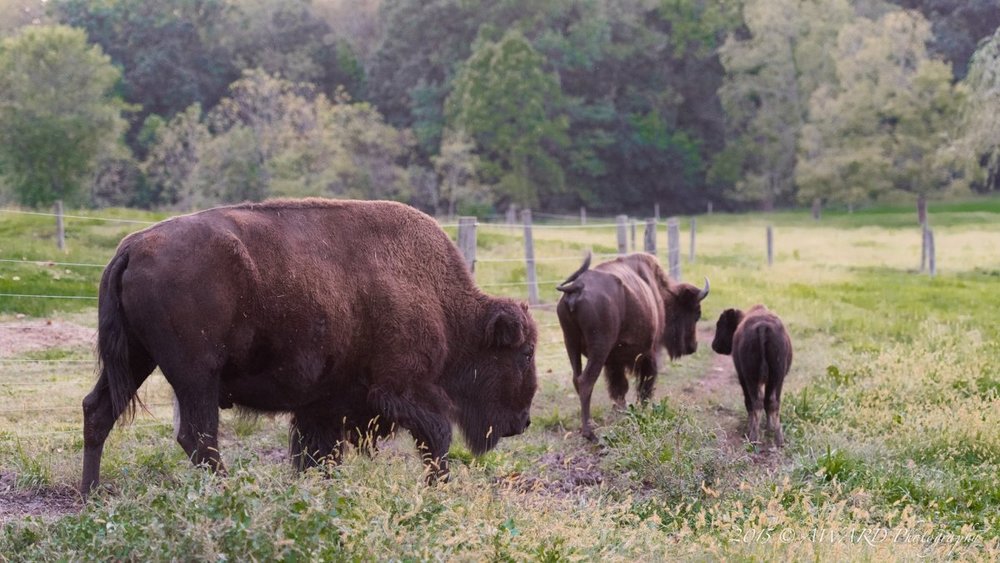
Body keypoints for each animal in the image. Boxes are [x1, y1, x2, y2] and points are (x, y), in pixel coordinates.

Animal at [85, 199, 540, 494]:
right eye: (525, 353)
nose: (523, 422)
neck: (442, 301)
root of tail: (132, 246)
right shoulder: (402, 387)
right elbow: (437, 436)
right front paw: (439, 489)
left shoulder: (323, 405)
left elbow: (318, 455)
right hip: (196, 374)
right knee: (197, 436)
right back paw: (228, 493)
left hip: (137, 359)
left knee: (98, 411)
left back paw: (92, 495)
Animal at [712, 306, 796, 448]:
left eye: (720, 324)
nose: (714, 345)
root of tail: (763, 326)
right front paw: (769, 428)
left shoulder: (743, 378)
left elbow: (749, 402)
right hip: (777, 378)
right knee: (772, 402)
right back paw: (778, 439)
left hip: (751, 379)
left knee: (756, 402)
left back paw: (753, 437)